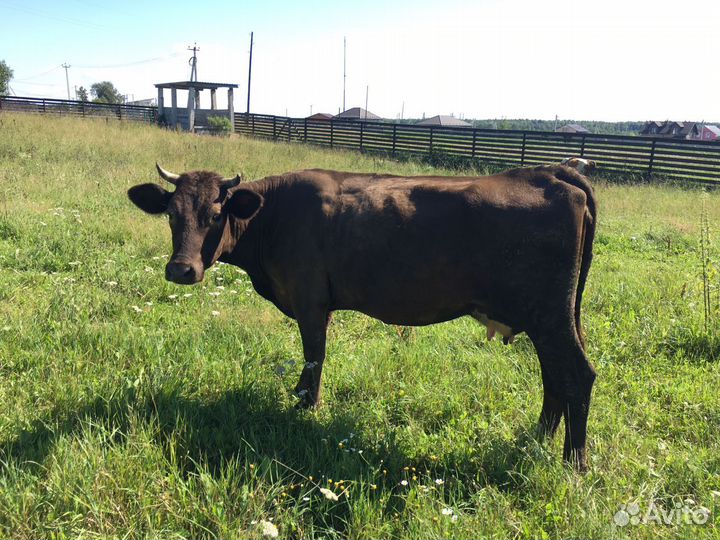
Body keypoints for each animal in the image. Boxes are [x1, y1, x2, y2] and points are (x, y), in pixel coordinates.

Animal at [127, 163, 598, 471]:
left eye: (214, 215)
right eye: (172, 215)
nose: (181, 270)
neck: (273, 215)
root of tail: (553, 172)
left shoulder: (310, 301)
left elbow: (313, 356)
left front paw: (306, 408)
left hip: (549, 317)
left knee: (577, 374)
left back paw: (572, 464)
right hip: (556, 318)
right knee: (555, 375)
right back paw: (537, 439)